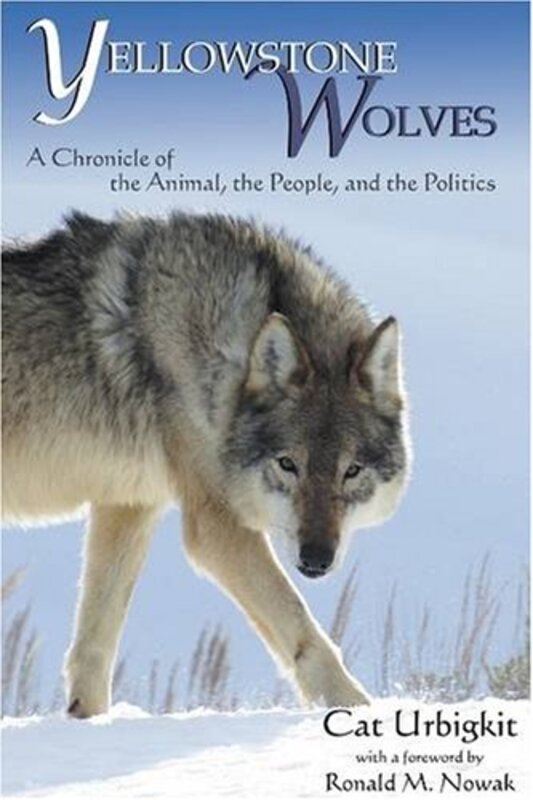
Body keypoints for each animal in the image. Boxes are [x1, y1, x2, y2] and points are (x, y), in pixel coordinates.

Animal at [2, 211, 411, 717]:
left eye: (351, 471)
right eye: (287, 464)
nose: (316, 558)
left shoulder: (129, 504)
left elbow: (94, 647)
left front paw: (88, 721)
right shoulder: (218, 527)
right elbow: (304, 631)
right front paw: (356, 709)